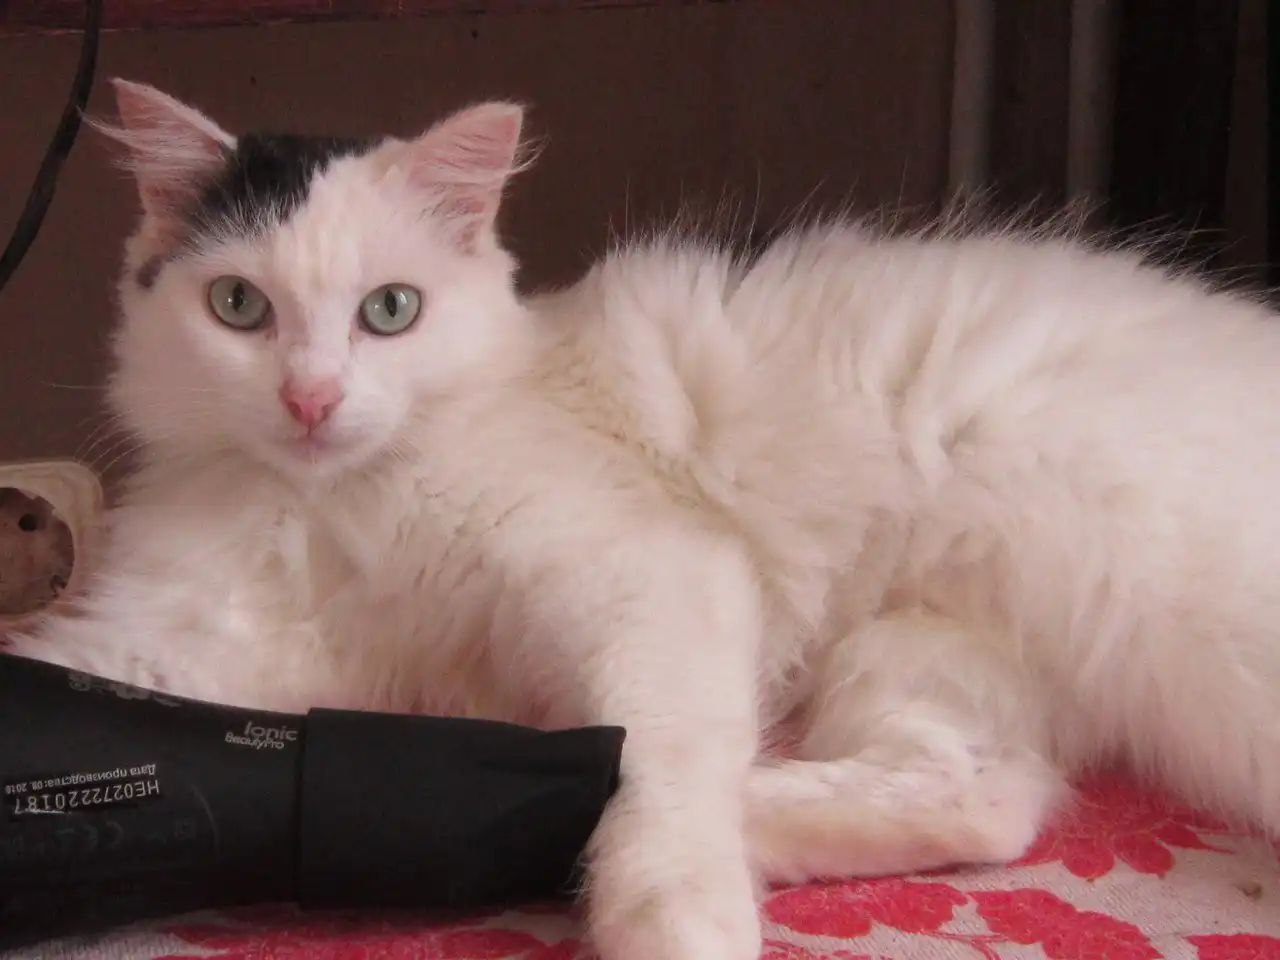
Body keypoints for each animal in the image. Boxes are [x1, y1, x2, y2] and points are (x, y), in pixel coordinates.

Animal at [8, 76, 1280, 960]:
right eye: (238, 306)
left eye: (389, 312)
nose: (311, 401)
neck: (339, 502)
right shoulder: (168, 644)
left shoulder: (648, 573)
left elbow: (660, 770)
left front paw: (676, 921)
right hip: (926, 661)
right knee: (982, 800)